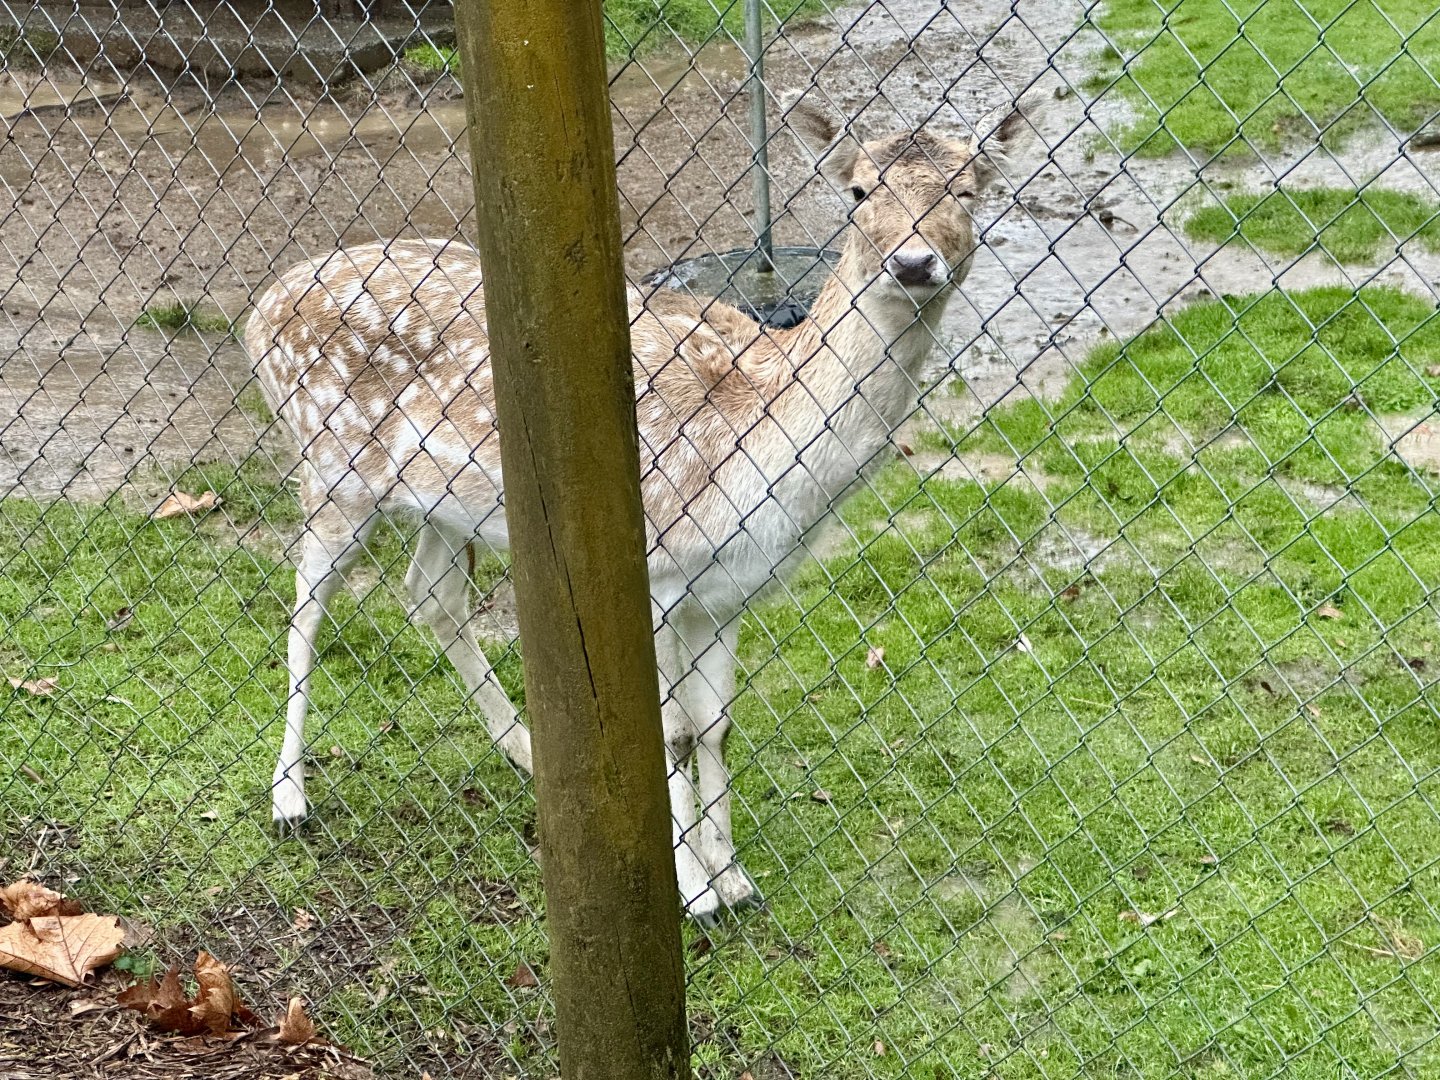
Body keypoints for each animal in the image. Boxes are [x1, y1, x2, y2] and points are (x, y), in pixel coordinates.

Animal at [244, 93, 1037, 925]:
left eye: (968, 192)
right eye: (857, 192)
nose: (913, 263)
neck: (761, 440)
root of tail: (256, 313)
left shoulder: (725, 592)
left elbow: (717, 725)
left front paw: (736, 878)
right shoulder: (655, 573)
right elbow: (675, 732)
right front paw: (696, 893)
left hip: (443, 503)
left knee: (429, 591)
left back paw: (521, 748)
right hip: (331, 465)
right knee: (304, 611)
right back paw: (289, 800)